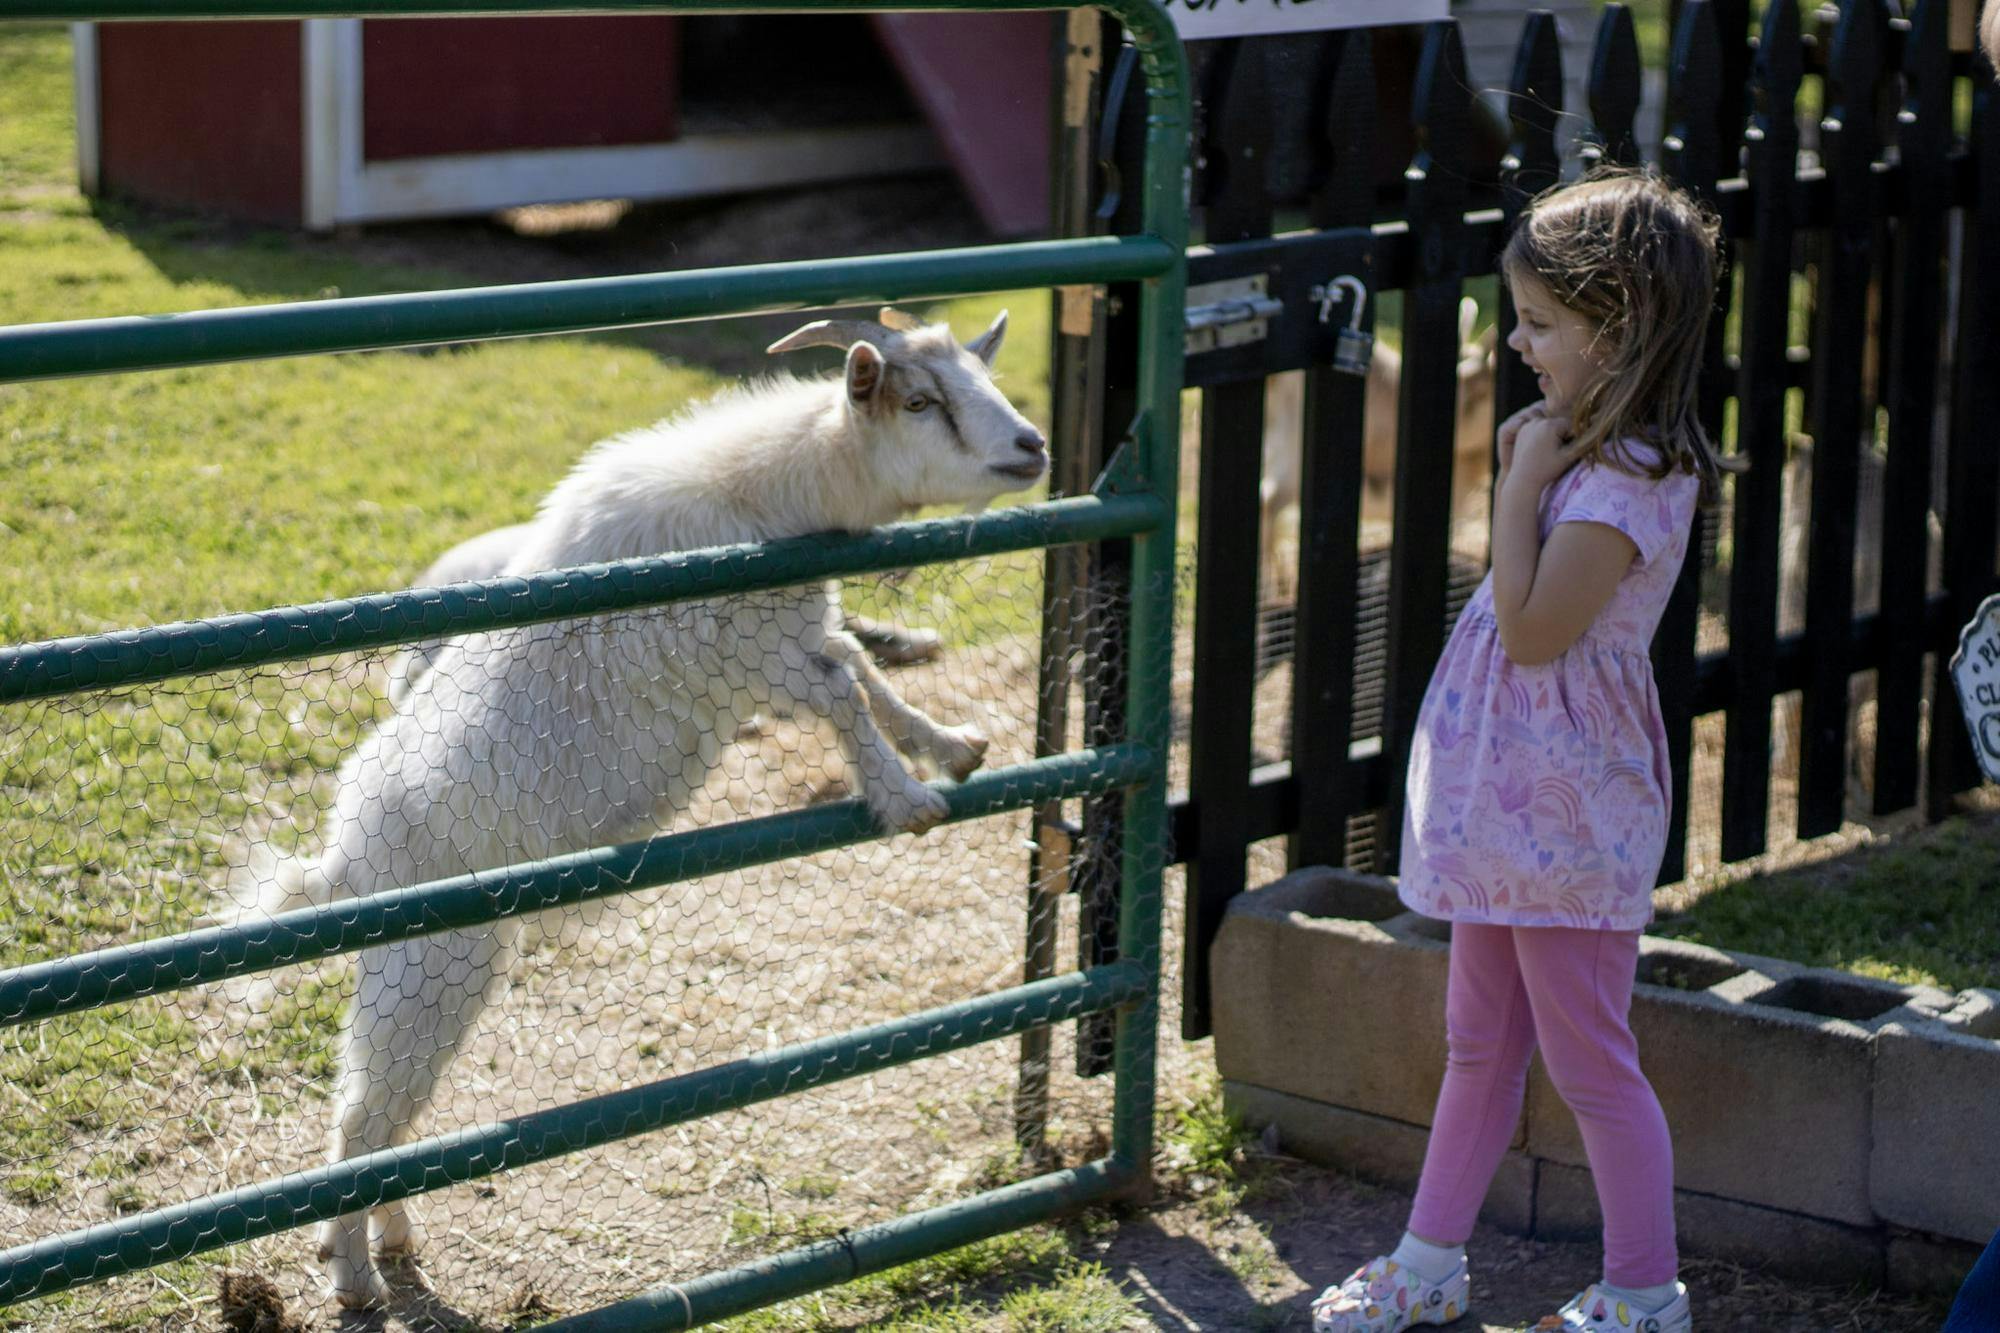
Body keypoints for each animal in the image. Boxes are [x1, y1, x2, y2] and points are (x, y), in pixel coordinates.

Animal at [236, 307, 1046, 1310]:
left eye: (980, 374)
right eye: (922, 401)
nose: (1032, 446)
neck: (766, 494)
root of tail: (342, 861)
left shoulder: (792, 632)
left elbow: (858, 666)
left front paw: (950, 742)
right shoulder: (749, 656)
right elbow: (842, 693)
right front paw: (904, 795)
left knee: (388, 1121)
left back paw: (394, 1245)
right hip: (427, 965)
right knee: (360, 1118)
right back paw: (354, 1279)